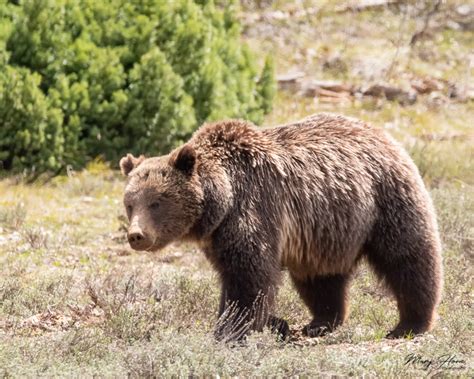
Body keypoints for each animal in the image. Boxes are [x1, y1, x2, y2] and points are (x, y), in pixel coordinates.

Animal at [120, 113, 442, 342]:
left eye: (156, 202)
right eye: (130, 203)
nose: (136, 235)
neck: (221, 202)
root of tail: (381, 134)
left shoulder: (252, 209)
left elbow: (248, 277)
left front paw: (229, 330)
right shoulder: (218, 237)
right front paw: (272, 323)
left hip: (385, 199)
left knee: (408, 258)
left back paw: (409, 324)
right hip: (325, 230)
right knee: (320, 278)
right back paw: (319, 322)